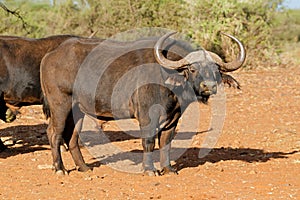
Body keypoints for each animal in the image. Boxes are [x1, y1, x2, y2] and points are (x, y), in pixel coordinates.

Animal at [40, 32, 246, 176]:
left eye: (216, 70)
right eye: (193, 69)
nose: (208, 86)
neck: (168, 80)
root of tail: (49, 56)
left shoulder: (172, 119)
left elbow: (166, 143)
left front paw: (168, 169)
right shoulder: (147, 117)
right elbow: (148, 142)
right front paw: (150, 169)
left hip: (78, 110)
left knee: (72, 137)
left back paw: (83, 168)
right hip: (60, 105)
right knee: (54, 133)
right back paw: (60, 169)